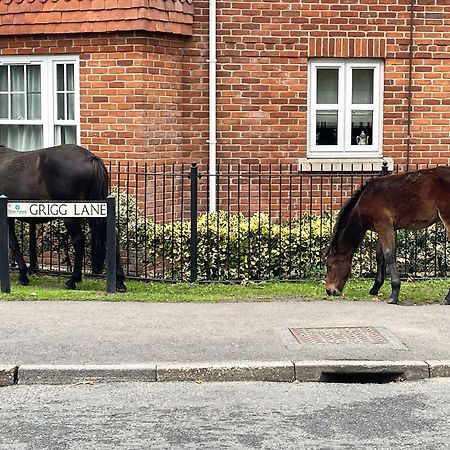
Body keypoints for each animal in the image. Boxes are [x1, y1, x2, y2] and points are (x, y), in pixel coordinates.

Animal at [0, 144, 126, 292]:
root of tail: (89, 157)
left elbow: (13, 243)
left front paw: (22, 276)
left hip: (71, 214)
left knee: (78, 240)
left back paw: (73, 280)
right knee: (112, 235)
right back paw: (120, 282)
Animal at [326, 166, 450, 306]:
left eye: (329, 266)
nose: (329, 291)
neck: (364, 200)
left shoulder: (384, 225)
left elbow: (389, 254)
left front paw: (394, 294)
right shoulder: (383, 228)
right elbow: (380, 256)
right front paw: (375, 288)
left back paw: (447, 298)